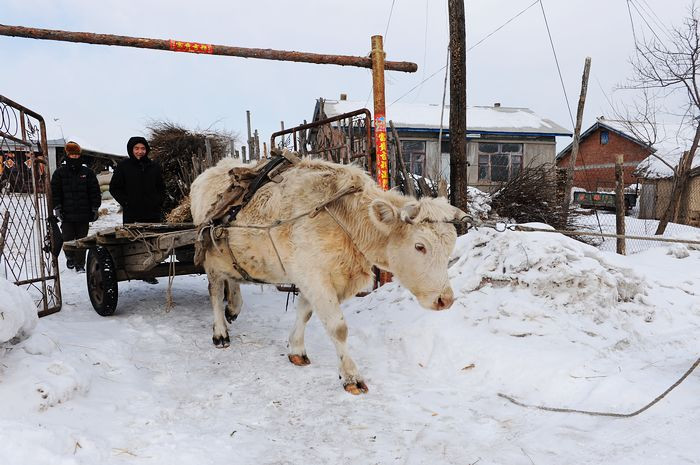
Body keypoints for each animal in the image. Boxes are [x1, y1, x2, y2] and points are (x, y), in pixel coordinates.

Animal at [191, 158, 464, 394]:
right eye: (420, 246)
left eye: (450, 245)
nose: (446, 300)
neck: (345, 219)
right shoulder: (315, 276)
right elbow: (338, 327)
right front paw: (351, 376)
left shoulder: (318, 279)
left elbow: (305, 312)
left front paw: (297, 349)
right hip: (210, 257)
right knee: (215, 290)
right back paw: (220, 332)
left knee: (232, 278)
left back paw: (233, 308)